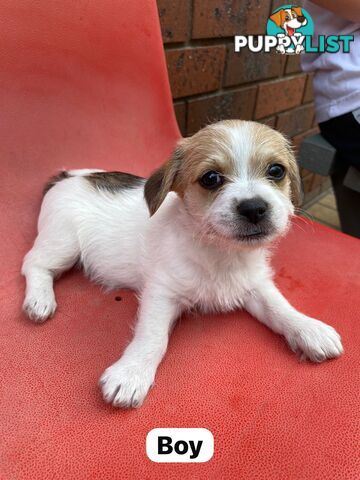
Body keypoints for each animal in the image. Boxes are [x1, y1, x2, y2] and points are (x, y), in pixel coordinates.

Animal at [21, 121, 342, 408]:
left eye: (276, 171)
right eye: (211, 178)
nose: (254, 208)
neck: (220, 253)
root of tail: (66, 176)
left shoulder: (254, 285)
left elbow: (280, 308)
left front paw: (309, 328)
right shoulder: (162, 293)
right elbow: (153, 337)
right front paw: (132, 372)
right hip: (63, 242)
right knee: (33, 263)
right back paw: (40, 299)